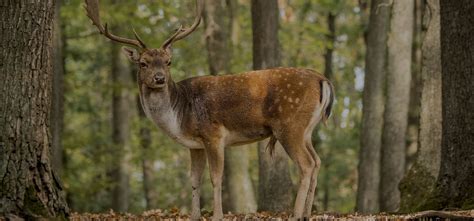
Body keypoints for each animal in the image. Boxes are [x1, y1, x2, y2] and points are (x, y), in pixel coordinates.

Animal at [84, 0, 334, 220]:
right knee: (317, 161)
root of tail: (322, 79)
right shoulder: (195, 145)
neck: (179, 116)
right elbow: (194, 179)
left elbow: (215, 177)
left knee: (306, 165)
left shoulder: (213, 134)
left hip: (289, 126)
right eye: (143, 63)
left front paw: (217, 215)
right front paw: (195, 216)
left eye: (168, 62)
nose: (159, 78)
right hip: (306, 130)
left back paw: (296, 215)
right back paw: (307, 213)